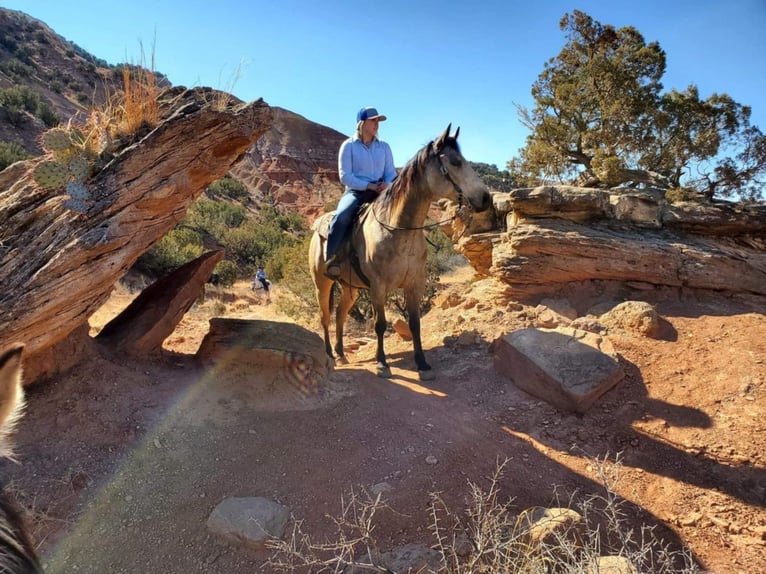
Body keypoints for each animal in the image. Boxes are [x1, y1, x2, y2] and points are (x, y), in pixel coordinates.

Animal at [308, 125, 492, 382]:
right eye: (455, 162)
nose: (486, 198)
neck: (397, 230)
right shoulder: (378, 286)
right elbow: (380, 324)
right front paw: (382, 364)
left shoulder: (415, 283)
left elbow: (414, 323)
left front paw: (422, 364)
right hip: (322, 283)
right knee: (325, 316)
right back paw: (329, 356)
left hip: (350, 288)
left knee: (340, 314)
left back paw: (342, 354)